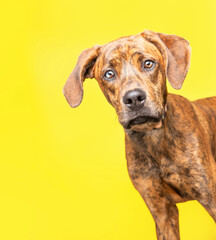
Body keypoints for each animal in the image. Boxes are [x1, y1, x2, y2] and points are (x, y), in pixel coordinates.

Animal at [62, 30, 216, 240]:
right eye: (109, 74)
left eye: (148, 63)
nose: (134, 98)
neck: (153, 138)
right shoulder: (161, 212)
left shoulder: (211, 197)